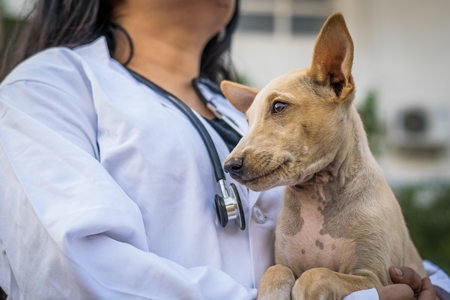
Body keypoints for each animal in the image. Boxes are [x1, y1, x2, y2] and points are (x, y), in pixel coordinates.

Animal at [221, 12, 426, 300]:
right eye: (247, 121)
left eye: (279, 106)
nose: (230, 166)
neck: (318, 195)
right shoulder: (284, 262)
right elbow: (275, 272)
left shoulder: (376, 278)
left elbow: (316, 275)